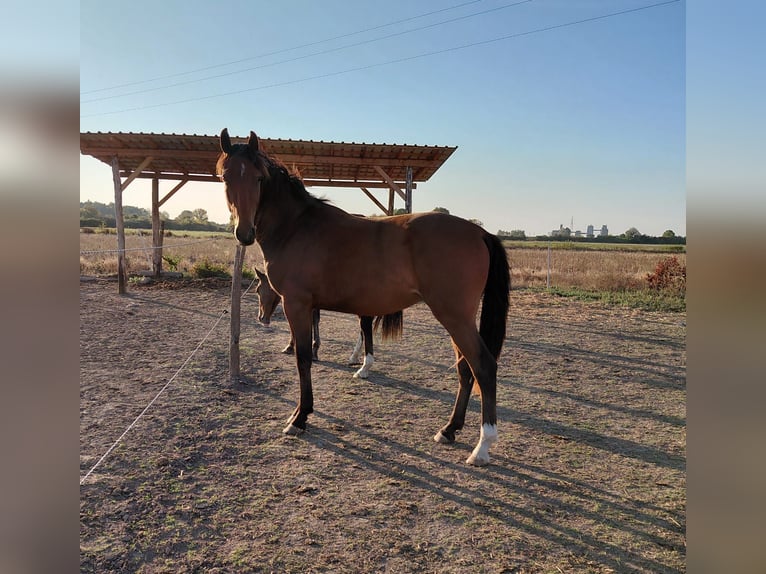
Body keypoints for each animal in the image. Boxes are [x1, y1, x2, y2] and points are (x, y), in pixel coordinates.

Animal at [253, 267, 402, 378]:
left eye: (257, 290)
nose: (261, 318)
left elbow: (308, 322)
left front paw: (302, 349)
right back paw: (354, 358)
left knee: (365, 327)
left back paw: (363, 368)